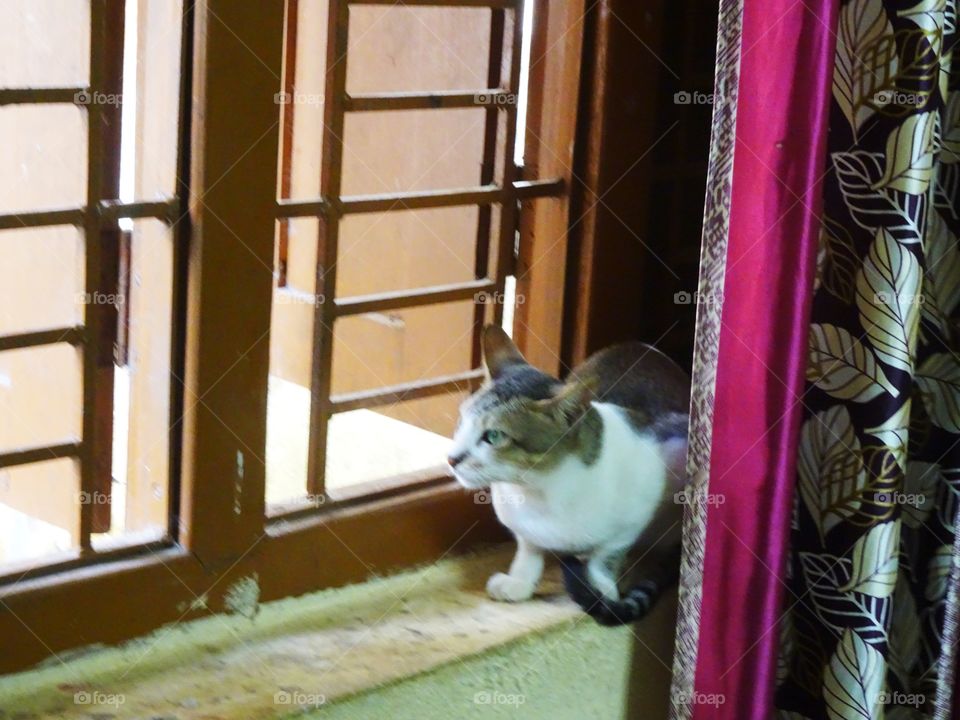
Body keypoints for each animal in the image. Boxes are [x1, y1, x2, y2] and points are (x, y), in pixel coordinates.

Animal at [446, 326, 688, 624]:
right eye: (462, 422)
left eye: (493, 436)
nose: (451, 458)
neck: (540, 489)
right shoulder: (524, 528)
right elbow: (528, 551)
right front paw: (519, 583)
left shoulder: (632, 522)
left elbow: (604, 558)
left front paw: (601, 590)